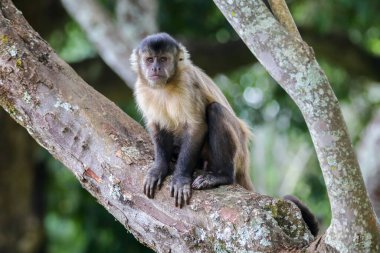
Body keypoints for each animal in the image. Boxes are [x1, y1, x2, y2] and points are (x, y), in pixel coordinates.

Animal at [130, 32, 318, 236]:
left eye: (163, 59)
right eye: (149, 60)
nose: (155, 67)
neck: (166, 85)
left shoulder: (187, 83)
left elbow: (197, 127)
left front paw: (180, 178)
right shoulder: (141, 89)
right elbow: (156, 126)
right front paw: (159, 168)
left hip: (238, 153)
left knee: (215, 111)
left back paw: (221, 176)